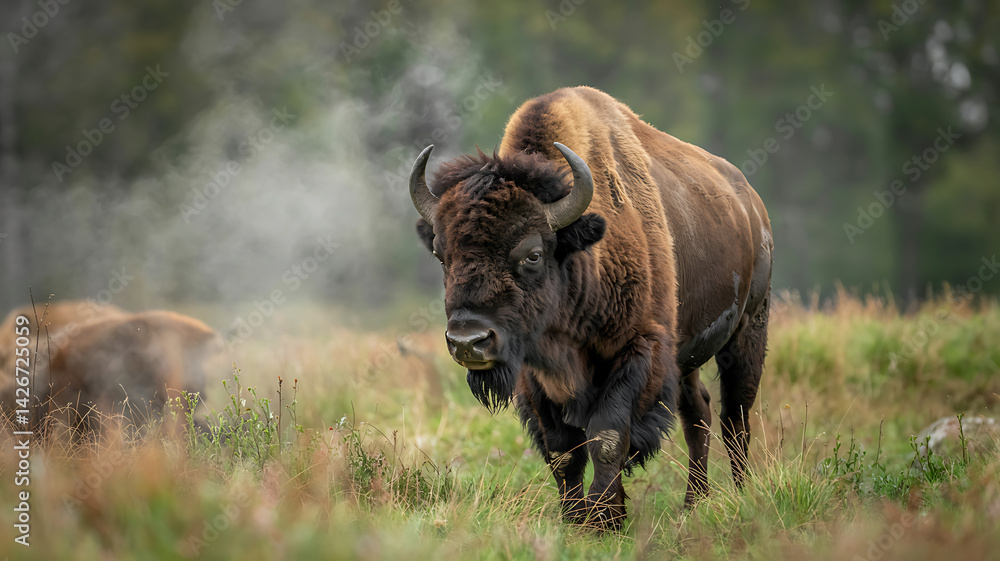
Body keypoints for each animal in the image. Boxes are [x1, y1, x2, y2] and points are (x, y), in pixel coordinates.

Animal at [408, 86, 773, 527]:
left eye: (532, 254)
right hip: (685, 356)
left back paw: (739, 496)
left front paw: (604, 519)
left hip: (748, 329)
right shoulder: (535, 375)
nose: (468, 341)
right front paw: (576, 520)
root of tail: (753, 206)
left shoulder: (639, 351)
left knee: (735, 417)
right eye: (442, 254)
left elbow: (607, 436)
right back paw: (693, 504)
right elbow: (562, 451)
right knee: (697, 413)